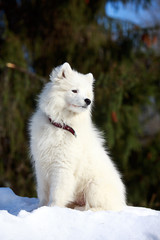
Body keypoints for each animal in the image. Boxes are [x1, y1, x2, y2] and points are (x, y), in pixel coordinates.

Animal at [29, 62, 126, 211]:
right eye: (74, 91)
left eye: (87, 94)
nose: (88, 101)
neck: (61, 125)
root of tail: (122, 201)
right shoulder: (41, 165)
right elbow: (43, 192)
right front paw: (39, 209)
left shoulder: (62, 167)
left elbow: (57, 193)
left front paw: (52, 209)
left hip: (93, 187)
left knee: (103, 207)